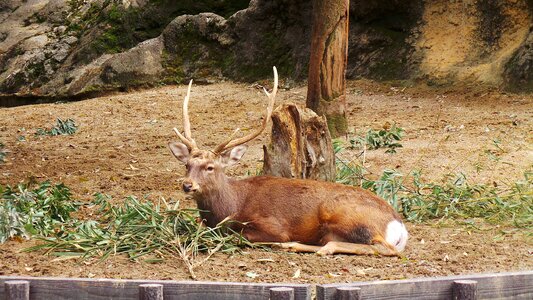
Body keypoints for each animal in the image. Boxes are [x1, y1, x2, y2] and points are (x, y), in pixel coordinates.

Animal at [168, 67, 410, 255]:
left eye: (210, 167)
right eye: (187, 165)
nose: (187, 185)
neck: (231, 207)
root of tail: (398, 226)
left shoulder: (273, 225)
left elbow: (242, 236)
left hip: (344, 214)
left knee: (381, 247)